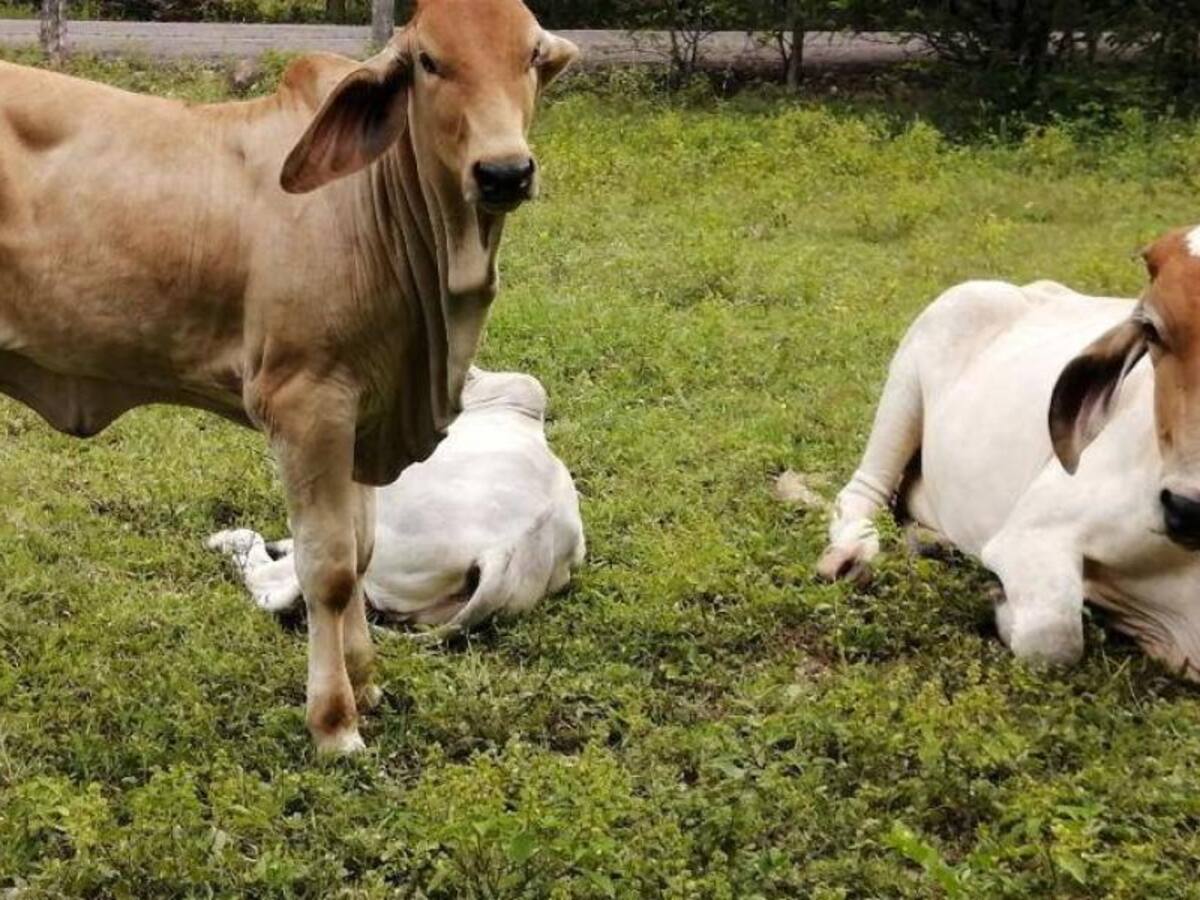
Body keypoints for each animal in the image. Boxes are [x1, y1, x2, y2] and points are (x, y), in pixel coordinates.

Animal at [818, 226, 1200, 680]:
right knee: (861, 492)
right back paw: (852, 556)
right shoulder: (1031, 532)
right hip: (918, 364)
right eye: (1153, 329)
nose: (1188, 508)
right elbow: (1054, 635)